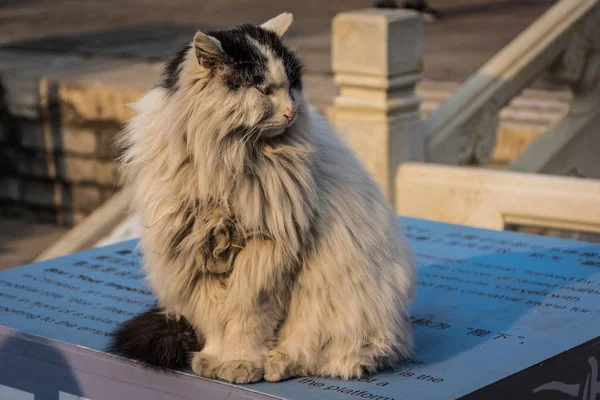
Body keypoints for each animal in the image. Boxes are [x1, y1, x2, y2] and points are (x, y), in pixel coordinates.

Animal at [108, 12, 414, 384]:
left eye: (293, 85)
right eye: (263, 89)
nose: (291, 112)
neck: (225, 160)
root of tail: (401, 331)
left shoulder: (266, 252)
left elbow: (247, 319)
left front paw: (242, 364)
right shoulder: (197, 253)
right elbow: (215, 320)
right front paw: (212, 360)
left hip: (351, 307)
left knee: (329, 355)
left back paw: (278, 363)